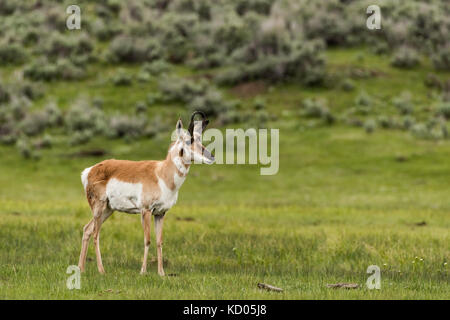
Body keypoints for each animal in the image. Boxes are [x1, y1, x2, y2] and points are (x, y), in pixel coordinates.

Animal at [78, 112, 214, 276]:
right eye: (188, 140)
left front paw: (161, 273)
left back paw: (81, 269)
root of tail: (90, 170)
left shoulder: (160, 213)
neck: (161, 174)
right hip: (99, 208)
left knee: (87, 229)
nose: (211, 157)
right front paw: (143, 271)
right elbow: (147, 239)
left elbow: (159, 241)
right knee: (96, 234)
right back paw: (101, 270)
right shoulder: (146, 210)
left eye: (200, 139)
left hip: (108, 210)